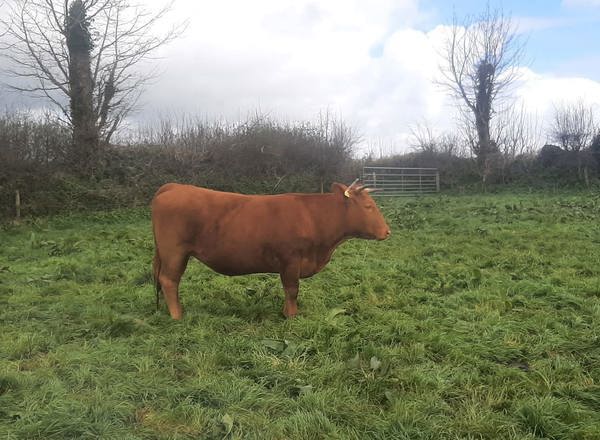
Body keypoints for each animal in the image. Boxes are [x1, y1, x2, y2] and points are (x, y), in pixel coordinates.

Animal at [152, 180, 392, 320]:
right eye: (369, 207)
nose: (387, 231)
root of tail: (174, 186)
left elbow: (289, 291)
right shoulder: (291, 260)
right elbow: (292, 290)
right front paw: (292, 316)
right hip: (174, 252)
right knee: (169, 281)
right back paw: (177, 316)